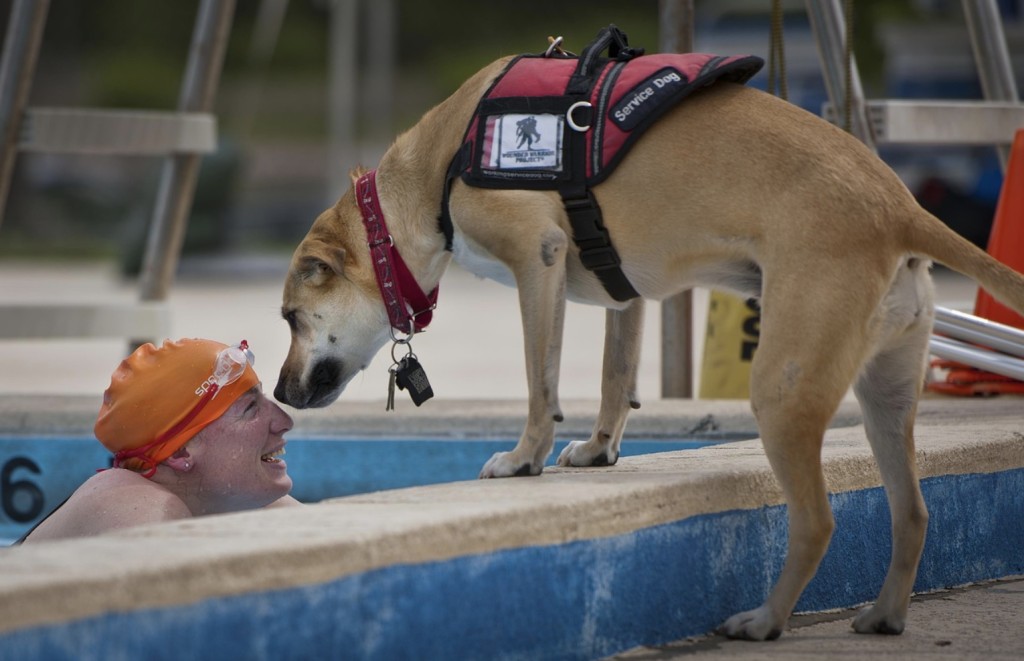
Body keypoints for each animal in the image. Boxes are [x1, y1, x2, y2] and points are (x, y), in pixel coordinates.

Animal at [272, 55, 1024, 642]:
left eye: (288, 317)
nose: (277, 392)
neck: (437, 168)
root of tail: (901, 206)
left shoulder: (538, 259)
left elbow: (541, 383)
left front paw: (523, 459)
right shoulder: (622, 290)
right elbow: (615, 376)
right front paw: (599, 450)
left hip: (783, 390)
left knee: (816, 520)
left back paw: (766, 620)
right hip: (885, 396)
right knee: (914, 511)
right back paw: (884, 614)